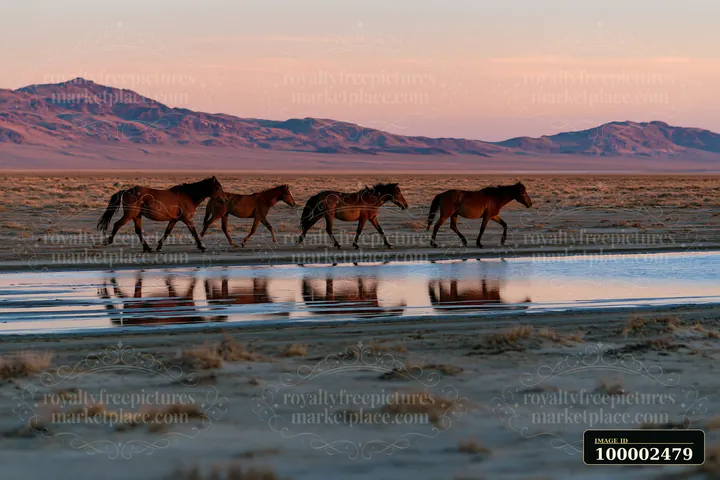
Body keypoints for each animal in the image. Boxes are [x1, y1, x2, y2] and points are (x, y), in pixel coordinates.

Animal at [97, 176, 227, 252]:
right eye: (217, 187)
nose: (224, 200)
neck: (188, 195)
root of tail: (126, 191)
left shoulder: (174, 220)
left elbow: (167, 232)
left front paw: (159, 246)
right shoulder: (187, 219)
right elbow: (194, 232)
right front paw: (201, 246)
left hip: (137, 216)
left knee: (138, 231)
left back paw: (147, 248)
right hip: (130, 215)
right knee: (117, 225)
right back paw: (108, 241)